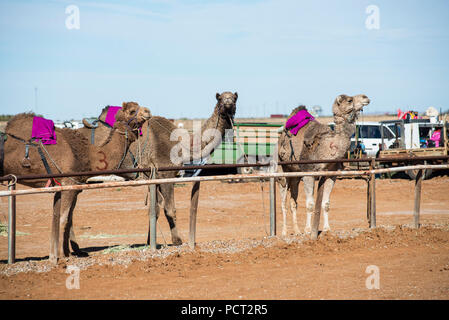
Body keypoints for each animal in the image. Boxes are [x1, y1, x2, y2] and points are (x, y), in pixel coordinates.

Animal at [1, 102, 152, 262]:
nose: (148, 111)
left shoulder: (66, 186)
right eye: (132, 111)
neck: (89, 154)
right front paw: (63, 255)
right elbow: (64, 218)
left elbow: (60, 218)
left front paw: (60, 254)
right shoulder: (69, 184)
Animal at [79, 91, 238, 246]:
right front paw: (176, 240)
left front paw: (151, 241)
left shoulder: (154, 176)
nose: (228, 102)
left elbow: (155, 208)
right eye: (220, 98)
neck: (180, 144)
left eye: (235, 98)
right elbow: (169, 208)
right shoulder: (166, 174)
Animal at [278, 94, 370, 236]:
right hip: (283, 170)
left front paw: (327, 228)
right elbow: (310, 204)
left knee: (293, 201)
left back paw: (297, 231)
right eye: (350, 100)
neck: (326, 147)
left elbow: (326, 203)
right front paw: (308, 230)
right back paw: (284, 232)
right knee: (283, 202)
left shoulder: (331, 175)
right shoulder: (308, 173)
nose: (366, 97)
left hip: (295, 176)